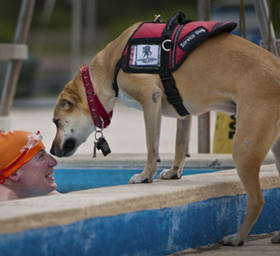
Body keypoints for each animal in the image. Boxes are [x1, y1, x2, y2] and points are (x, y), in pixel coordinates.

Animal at [50, 23, 280, 247]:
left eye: (56, 122)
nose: (51, 150)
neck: (111, 65)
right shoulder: (183, 111)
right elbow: (180, 143)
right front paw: (174, 172)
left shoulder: (151, 98)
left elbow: (152, 147)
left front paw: (145, 176)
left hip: (244, 149)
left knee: (257, 200)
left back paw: (238, 237)